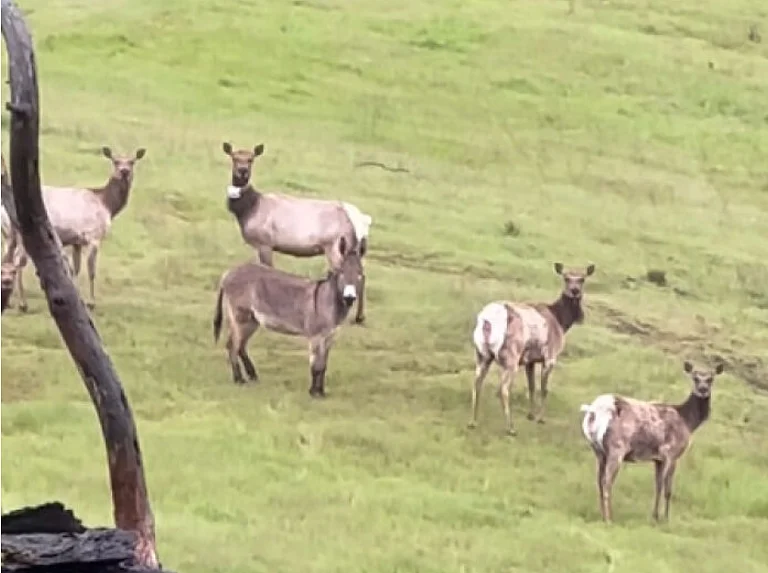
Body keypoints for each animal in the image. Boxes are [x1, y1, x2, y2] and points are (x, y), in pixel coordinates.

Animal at [7, 147, 146, 309]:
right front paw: (91, 302)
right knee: (18, 261)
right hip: (23, 233)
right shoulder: (94, 236)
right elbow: (91, 270)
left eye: (132, 162)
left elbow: (76, 270)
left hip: (11, 233)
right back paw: (23, 303)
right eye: (115, 161)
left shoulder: (77, 241)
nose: (124, 171)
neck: (107, 205)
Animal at [212, 235, 365, 398]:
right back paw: (239, 380)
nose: (349, 298)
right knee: (232, 345)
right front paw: (313, 393)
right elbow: (316, 366)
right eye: (341, 272)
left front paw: (321, 392)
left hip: (252, 320)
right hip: (241, 317)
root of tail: (228, 273)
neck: (329, 300)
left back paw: (252, 376)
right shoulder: (316, 336)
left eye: (360, 274)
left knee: (240, 346)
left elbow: (323, 366)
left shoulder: (330, 337)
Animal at [221, 141, 372, 325]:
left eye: (251, 159)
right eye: (234, 157)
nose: (242, 171)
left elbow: (269, 268)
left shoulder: (265, 242)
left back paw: (358, 315)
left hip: (335, 246)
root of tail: (362, 221)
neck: (249, 209)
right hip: (352, 247)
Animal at [468, 262, 596, 435]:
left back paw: (473, 421)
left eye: (582, 279)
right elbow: (544, 388)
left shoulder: (530, 360)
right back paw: (510, 427)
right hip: (511, 357)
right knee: (504, 389)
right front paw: (540, 418)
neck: (561, 322)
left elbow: (531, 386)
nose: (574, 291)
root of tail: (487, 320)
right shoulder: (550, 357)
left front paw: (530, 415)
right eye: (566, 278)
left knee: (476, 383)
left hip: (482, 354)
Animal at [580, 360, 725, 523]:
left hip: (598, 451)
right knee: (607, 482)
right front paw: (666, 519)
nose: (703, 389)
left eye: (711, 378)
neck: (688, 421)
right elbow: (668, 489)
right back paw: (609, 518)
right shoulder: (671, 453)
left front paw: (655, 516)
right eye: (695, 378)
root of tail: (594, 410)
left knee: (599, 481)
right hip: (616, 447)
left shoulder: (658, 458)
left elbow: (658, 486)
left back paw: (602, 515)